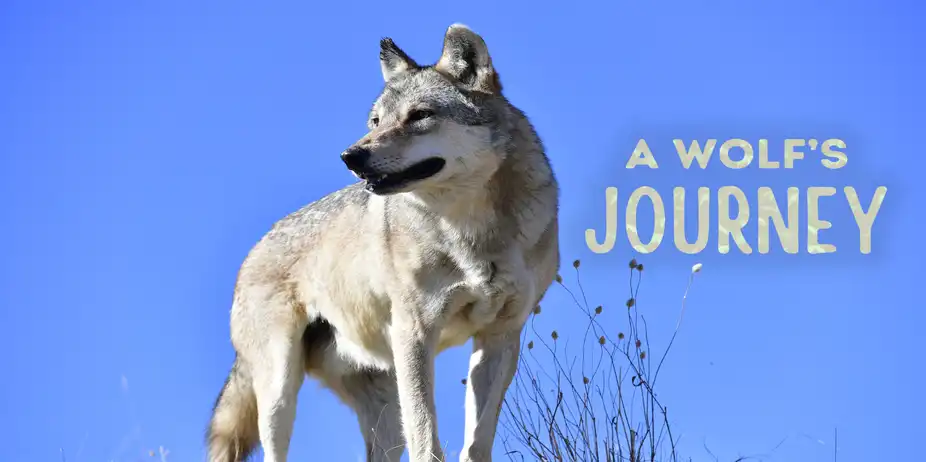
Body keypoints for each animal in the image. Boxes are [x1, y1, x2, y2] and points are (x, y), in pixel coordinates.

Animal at [206, 24, 559, 462]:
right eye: (375, 121)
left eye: (419, 115)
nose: (350, 156)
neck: (472, 233)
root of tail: (256, 246)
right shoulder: (415, 331)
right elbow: (427, 439)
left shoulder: (501, 335)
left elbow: (476, 442)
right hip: (278, 390)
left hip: (383, 403)